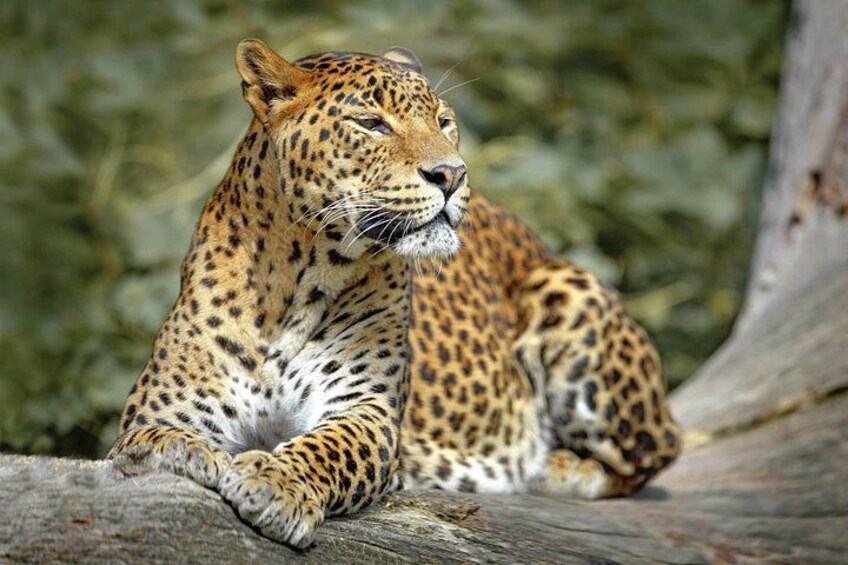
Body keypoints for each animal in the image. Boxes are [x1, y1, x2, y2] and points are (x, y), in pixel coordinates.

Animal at [108, 39, 681, 549]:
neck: (298, 280)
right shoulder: (162, 408)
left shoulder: (367, 410)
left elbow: (327, 448)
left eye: (444, 122)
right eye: (371, 123)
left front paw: (274, 483)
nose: (452, 174)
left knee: (656, 450)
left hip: (570, 295)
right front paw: (185, 454)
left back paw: (557, 466)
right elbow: (150, 440)